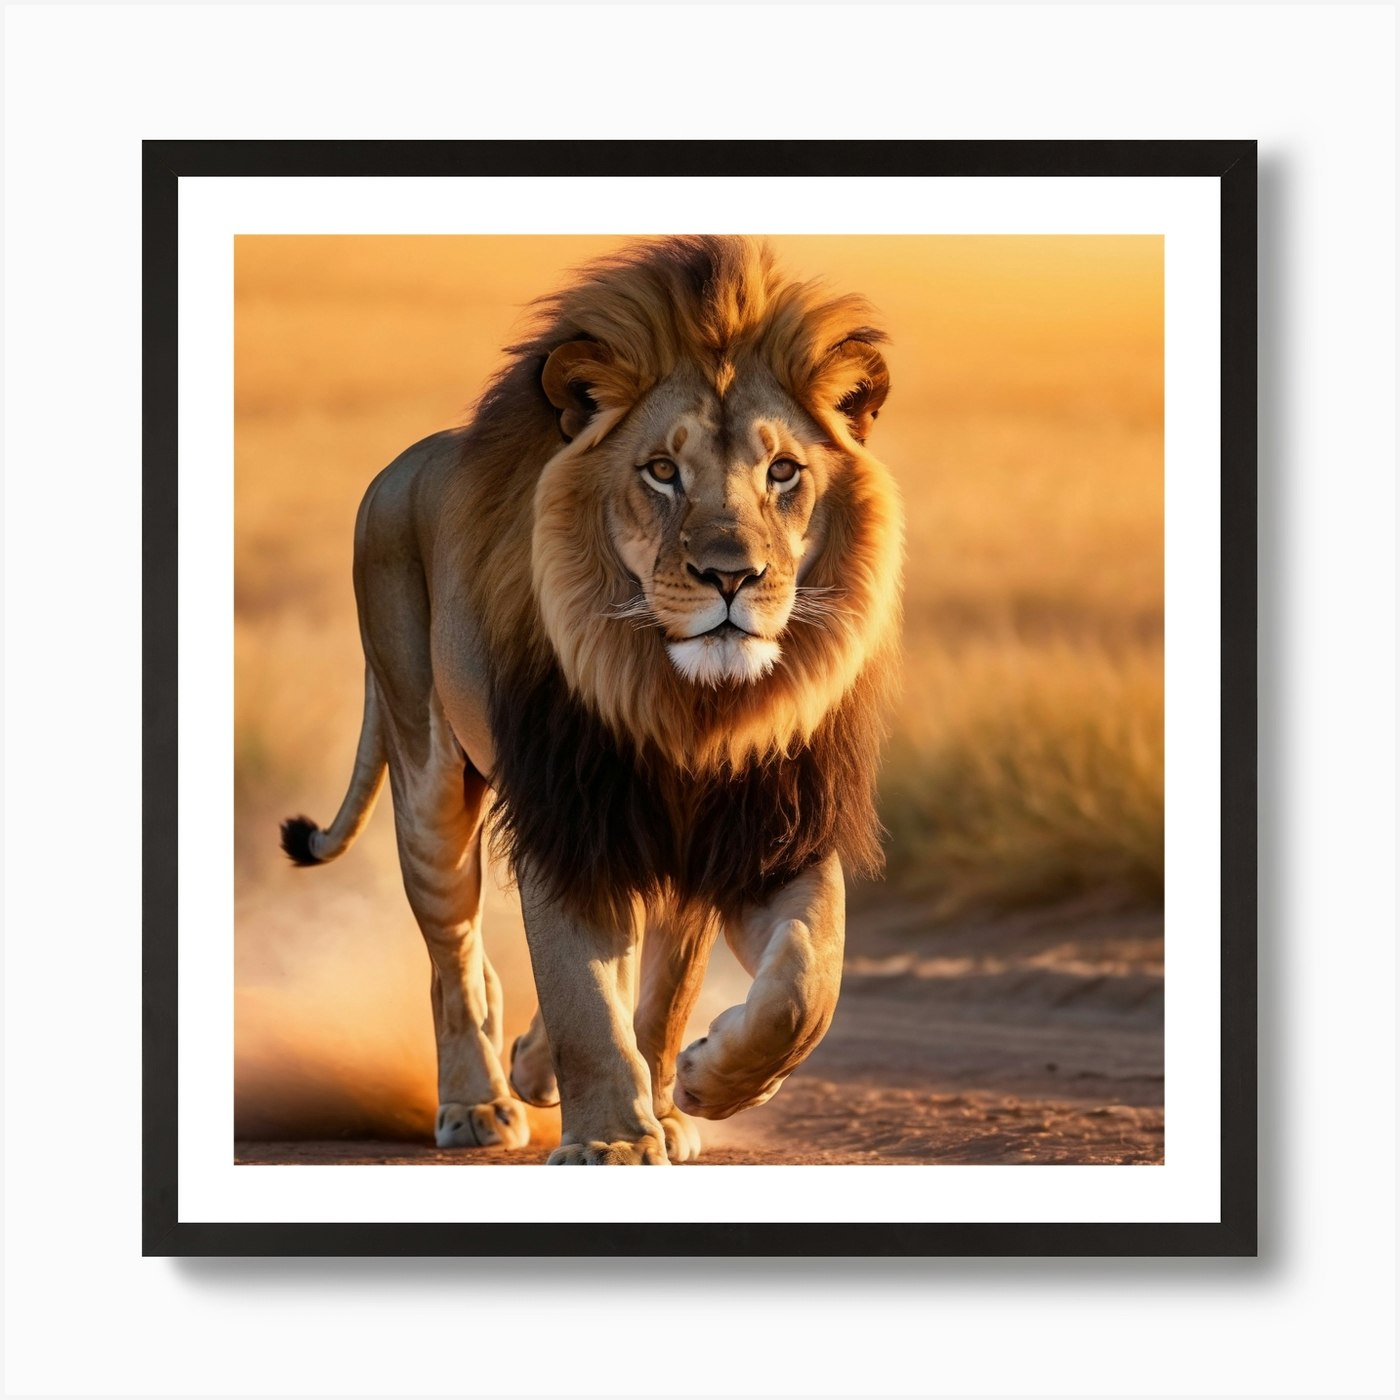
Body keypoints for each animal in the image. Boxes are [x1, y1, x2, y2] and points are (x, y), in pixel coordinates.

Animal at [280, 235, 903, 1164]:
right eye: (661, 472)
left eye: (784, 471)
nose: (731, 576)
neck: (688, 707)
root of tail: (402, 468)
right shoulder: (571, 820)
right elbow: (582, 997)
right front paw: (612, 1139)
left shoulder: (762, 832)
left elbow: (798, 984)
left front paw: (703, 1083)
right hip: (427, 778)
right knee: (455, 957)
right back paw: (477, 1104)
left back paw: (561, 1075)